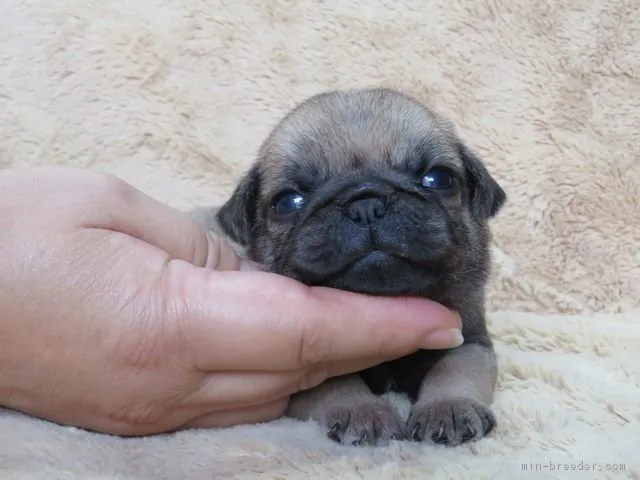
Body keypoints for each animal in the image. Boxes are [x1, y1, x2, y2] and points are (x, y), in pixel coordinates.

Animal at [190, 88, 504, 448]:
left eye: (439, 178)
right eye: (288, 201)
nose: (366, 203)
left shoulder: (469, 341)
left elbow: (454, 370)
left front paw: (448, 406)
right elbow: (334, 380)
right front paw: (361, 411)